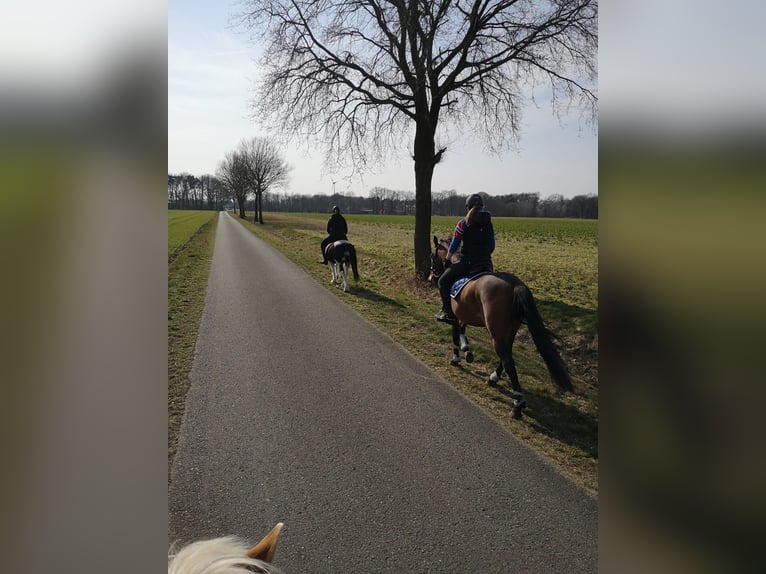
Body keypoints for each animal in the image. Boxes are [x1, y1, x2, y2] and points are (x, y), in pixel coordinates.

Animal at [429, 236, 573, 419]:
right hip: (510, 331)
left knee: (507, 360)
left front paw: (456, 358)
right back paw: (493, 378)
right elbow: (462, 331)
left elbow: (455, 333)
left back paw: (517, 404)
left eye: (432, 255)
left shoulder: (455, 316)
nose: (432, 276)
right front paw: (466, 350)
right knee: (507, 357)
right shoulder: (464, 315)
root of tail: (515, 285)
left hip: (496, 332)